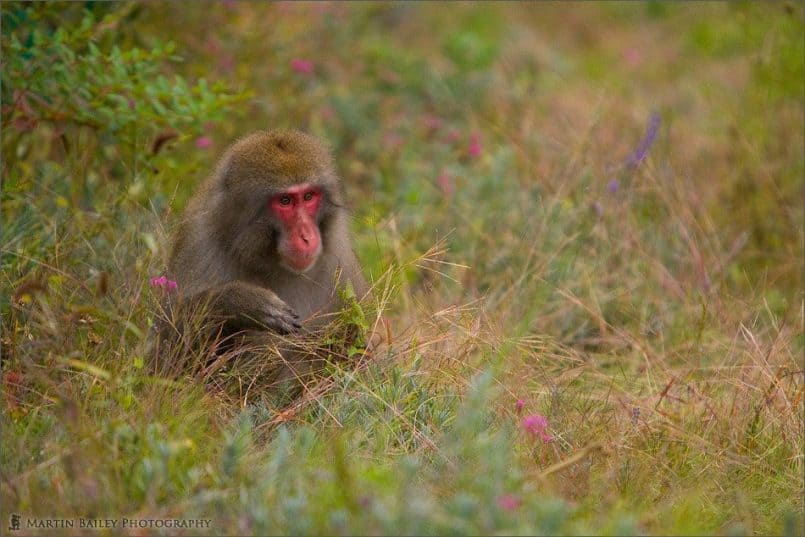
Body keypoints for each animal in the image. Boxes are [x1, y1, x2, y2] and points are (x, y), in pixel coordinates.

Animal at [159, 130, 372, 388]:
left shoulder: (339, 259)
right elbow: (164, 361)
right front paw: (242, 302)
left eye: (308, 196)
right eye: (285, 201)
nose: (307, 237)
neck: (266, 259)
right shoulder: (198, 240)